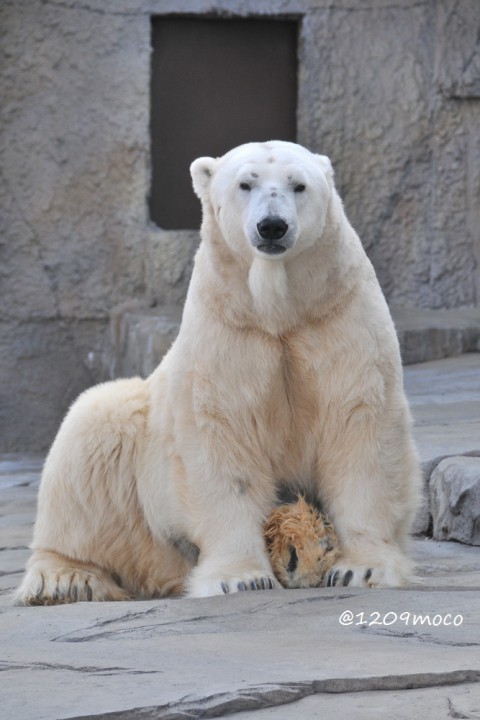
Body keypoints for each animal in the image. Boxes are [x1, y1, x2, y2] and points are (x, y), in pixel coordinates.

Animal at [15, 139, 420, 600]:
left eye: (298, 185)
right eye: (246, 183)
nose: (272, 226)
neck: (278, 311)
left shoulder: (337, 315)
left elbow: (359, 425)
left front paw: (362, 569)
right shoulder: (228, 330)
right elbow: (224, 437)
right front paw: (241, 578)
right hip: (140, 477)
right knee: (91, 429)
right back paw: (65, 578)